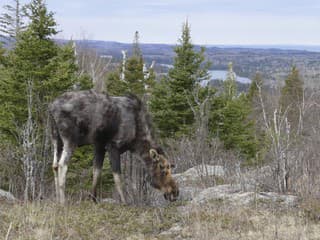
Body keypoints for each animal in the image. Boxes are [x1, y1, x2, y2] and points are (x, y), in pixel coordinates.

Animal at [50, 90, 180, 204]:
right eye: (162, 168)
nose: (175, 192)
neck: (136, 138)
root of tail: (52, 108)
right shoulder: (113, 146)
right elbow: (117, 177)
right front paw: (124, 201)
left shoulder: (99, 146)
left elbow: (96, 172)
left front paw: (93, 199)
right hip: (70, 139)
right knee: (62, 165)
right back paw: (63, 202)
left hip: (56, 139)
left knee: (55, 165)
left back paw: (57, 200)